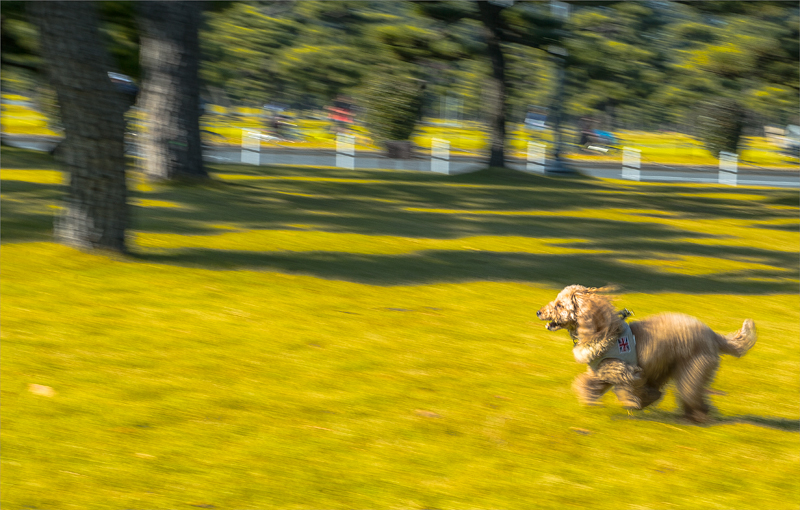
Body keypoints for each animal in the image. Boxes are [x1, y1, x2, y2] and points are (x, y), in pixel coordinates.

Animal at [536, 282, 756, 422]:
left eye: (559, 305)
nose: (539, 312)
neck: (603, 330)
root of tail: (713, 335)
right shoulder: (603, 372)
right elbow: (588, 383)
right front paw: (589, 400)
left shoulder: (623, 370)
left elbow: (629, 388)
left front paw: (636, 402)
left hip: (692, 369)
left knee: (693, 395)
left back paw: (697, 418)